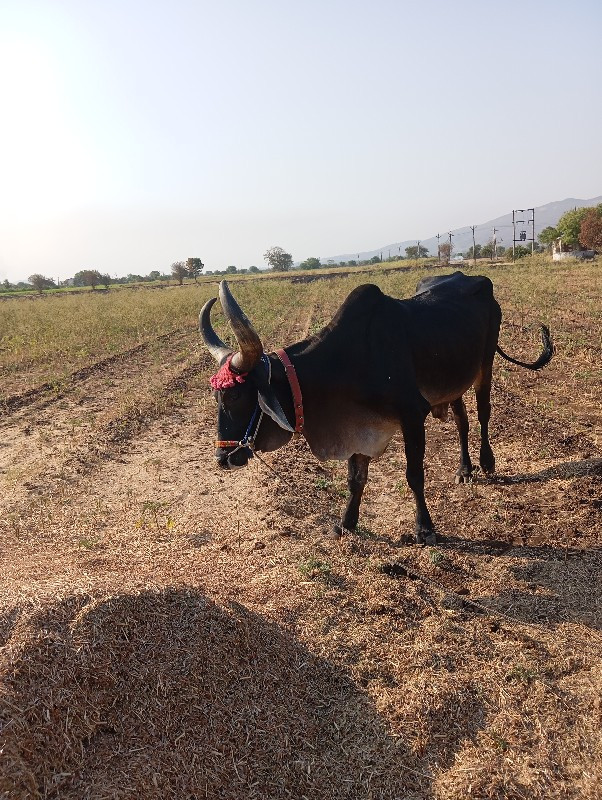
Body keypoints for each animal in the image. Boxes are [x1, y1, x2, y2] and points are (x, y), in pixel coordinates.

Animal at [199, 272, 552, 548]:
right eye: (216, 395)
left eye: (236, 396)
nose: (222, 458)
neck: (349, 361)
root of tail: (475, 278)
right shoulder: (357, 426)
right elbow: (355, 479)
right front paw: (346, 522)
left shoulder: (413, 416)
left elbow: (414, 476)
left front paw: (425, 529)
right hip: (453, 381)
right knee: (462, 421)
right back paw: (464, 469)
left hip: (484, 366)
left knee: (483, 412)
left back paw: (486, 462)